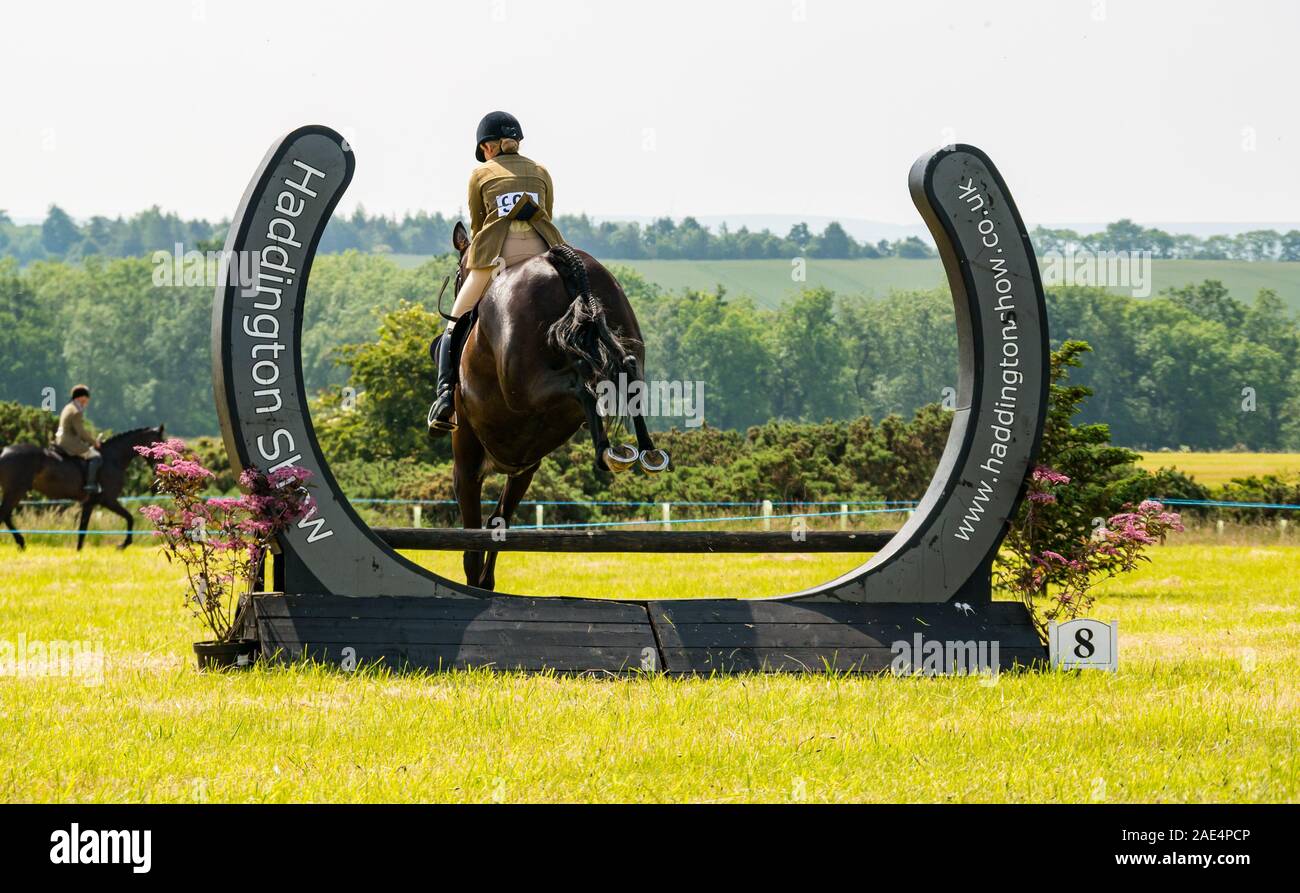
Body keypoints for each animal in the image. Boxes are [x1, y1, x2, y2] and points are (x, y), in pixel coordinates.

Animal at [0, 426, 165, 551]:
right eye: (158, 444)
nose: (158, 470)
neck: (113, 459)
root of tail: (4, 452)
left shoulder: (89, 503)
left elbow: (82, 528)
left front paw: (79, 551)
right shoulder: (108, 501)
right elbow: (130, 518)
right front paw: (123, 544)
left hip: (14, 491)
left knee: (6, 515)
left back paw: (21, 542)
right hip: (16, 491)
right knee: (4, 514)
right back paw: (21, 542)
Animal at [444, 220, 670, 590]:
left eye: (460, 275)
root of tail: (556, 259)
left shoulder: (467, 461)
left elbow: (475, 539)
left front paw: (477, 582)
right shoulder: (524, 468)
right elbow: (497, 523)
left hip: (527, 384)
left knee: (583, 378)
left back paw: (608, 451)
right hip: (620, 325)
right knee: (626, 369)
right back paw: (645, 451)